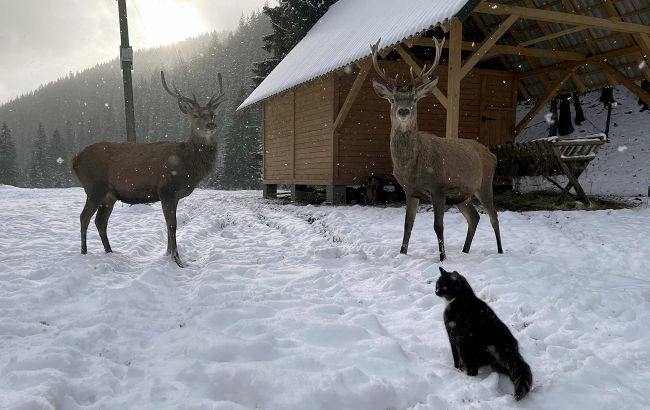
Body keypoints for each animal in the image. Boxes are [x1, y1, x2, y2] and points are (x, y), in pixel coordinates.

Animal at [71, 69, 225, 270]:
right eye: (196, 115)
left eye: (213, 114)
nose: (211, 125)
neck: (188, 165)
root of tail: (74, 160)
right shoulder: (165, 189)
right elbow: (172, 225)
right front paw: (177, 260)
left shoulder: (174, 195)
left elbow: (169, 225)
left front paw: (167, 254)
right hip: (94, 187)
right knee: (84, 217)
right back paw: (84, 252)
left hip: (109, 195)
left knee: (100, 221)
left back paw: (110, 252)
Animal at [370, 39, 502, 262]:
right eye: (393, 99)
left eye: (415, 99)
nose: (403, 111)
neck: (411, 166)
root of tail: (492, 155)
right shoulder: (410, 191)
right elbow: (407, 225)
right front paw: (402, 253)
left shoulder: (439, 187)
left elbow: (438, 226)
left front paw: (443, 258)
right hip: (463, 195)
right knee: (474, 217)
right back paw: (465, 251)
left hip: (485, 184)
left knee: (493, 216)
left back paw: (501, 251)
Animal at [432, 266, 528, 400]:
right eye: (437, 285)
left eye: (444, 287)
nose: (436, 291)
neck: (462, 297)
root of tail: (506, 345)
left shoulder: (452, 335)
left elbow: (455, 356)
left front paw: (456, 369)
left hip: (467, 350)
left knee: (473, 371)